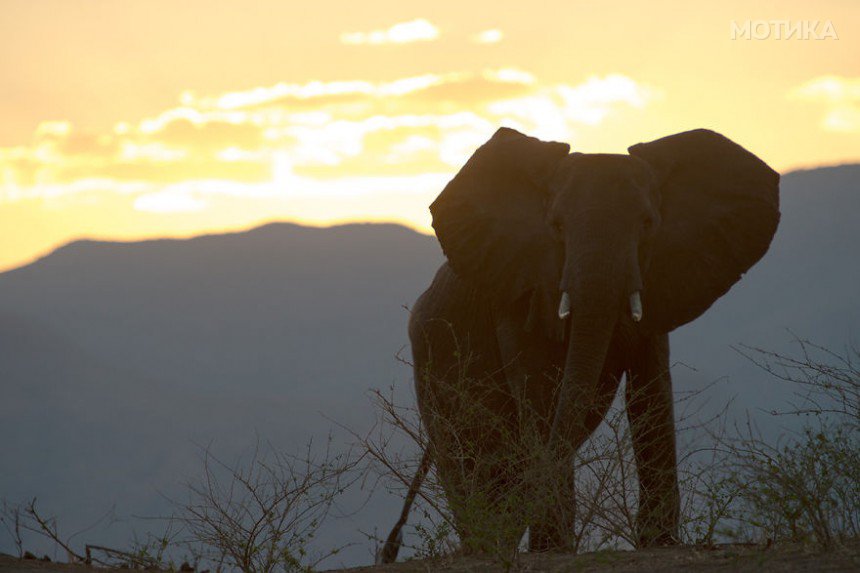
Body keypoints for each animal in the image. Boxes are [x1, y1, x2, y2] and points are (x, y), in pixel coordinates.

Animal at [382, 126, 780, 560]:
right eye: (556, 227)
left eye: (647, 224)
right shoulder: (519, 289)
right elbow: (541, 394)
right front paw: (553, 550)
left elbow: (651, 393)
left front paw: (660, 544)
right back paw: (487, 548)